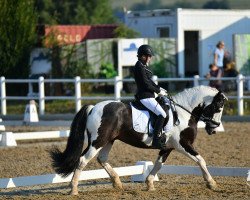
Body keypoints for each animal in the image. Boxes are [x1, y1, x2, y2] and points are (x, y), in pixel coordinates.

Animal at [49, 85, 228, 195]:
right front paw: (211, 183)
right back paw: (73, 189)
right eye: (218, 107)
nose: (214, 129)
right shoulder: (182, 145)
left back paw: (117, 183)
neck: (184, 113)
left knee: (102, 159)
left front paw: (149, 184)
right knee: (82, 160)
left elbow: (158, 164)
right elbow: (200, 160)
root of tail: (94, 108)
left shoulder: (167, 147)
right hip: (98, 141)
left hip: (108, 140)